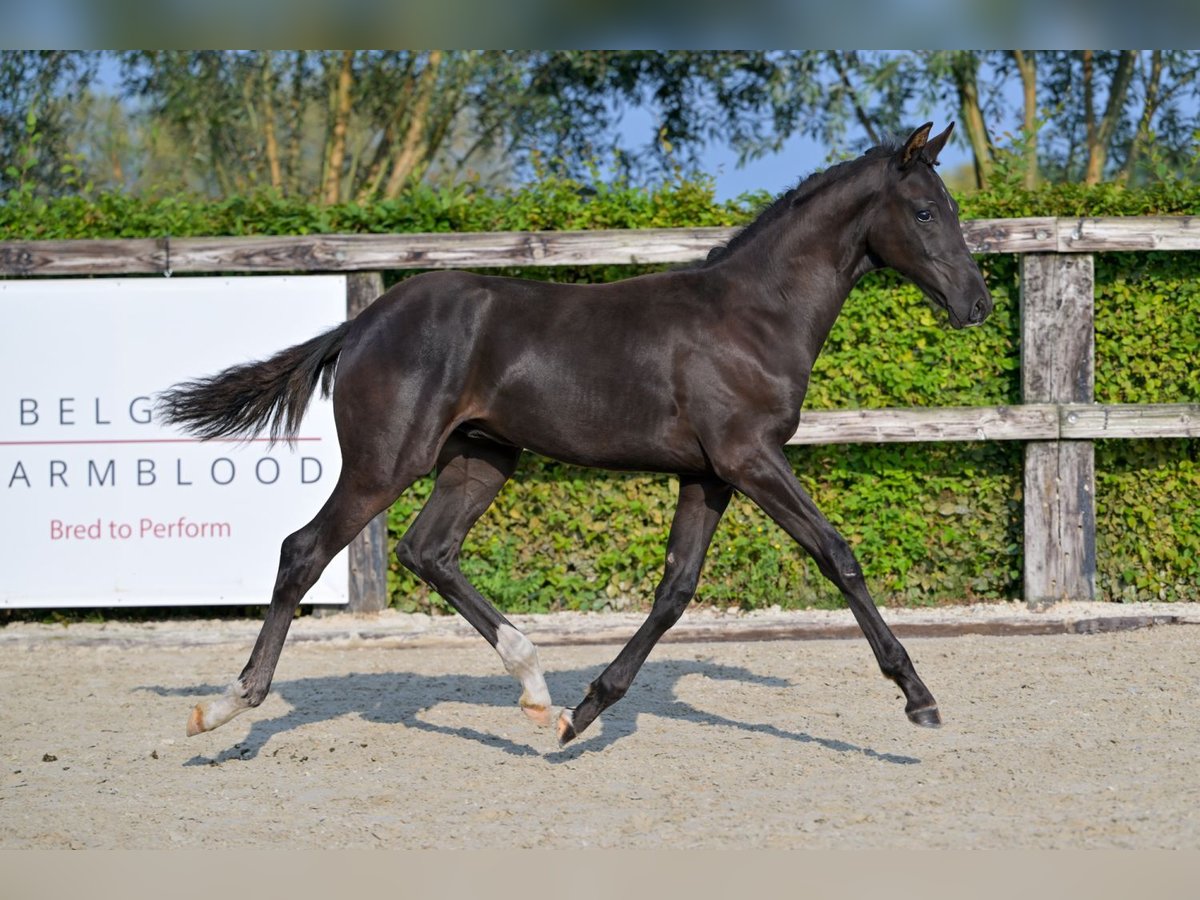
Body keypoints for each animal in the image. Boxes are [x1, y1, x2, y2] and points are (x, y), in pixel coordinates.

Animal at [162, 123, 993, 748]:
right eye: (926, 212)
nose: (977, 305)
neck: (754, 315)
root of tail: (363, 322)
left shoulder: (708, 475)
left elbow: (675, 591)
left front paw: (586, 710)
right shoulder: (750, 458)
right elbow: (837, 554)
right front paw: (918, 697)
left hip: (480, 460)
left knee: (428, 551)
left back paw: (535, 687)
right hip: (384, 463)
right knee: (304, 550)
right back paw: (226, 708)